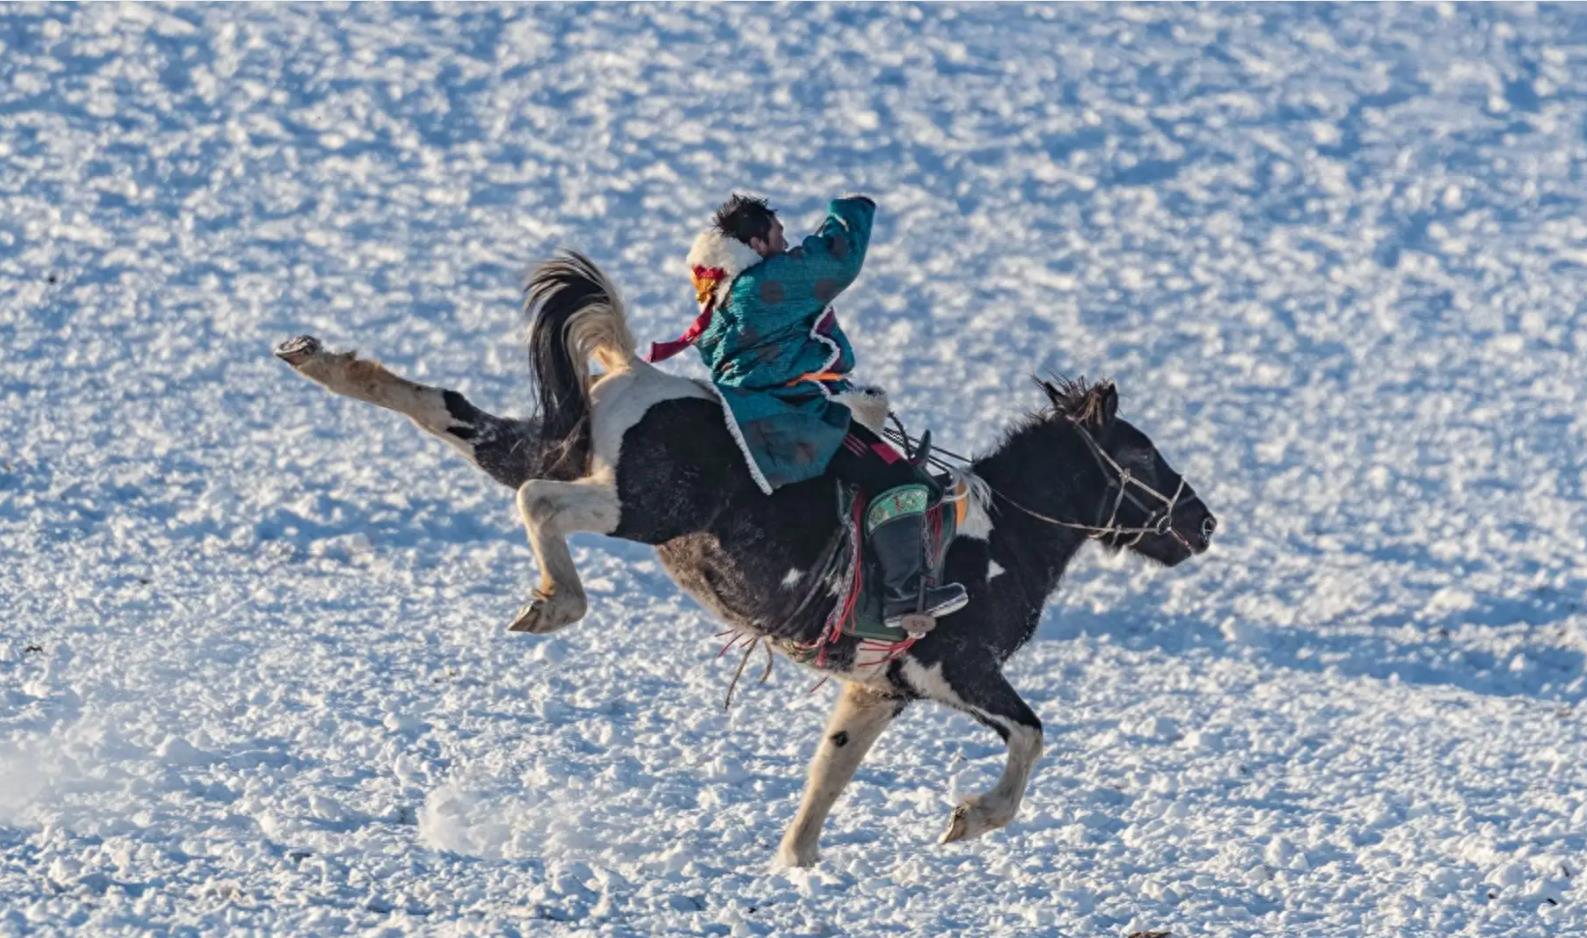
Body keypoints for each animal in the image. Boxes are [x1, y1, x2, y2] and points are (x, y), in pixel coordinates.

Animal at [272, 253, 1218, 869]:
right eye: (1140, 456)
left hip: (557, 447)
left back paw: (317, 361)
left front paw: (794, 867)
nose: (1202, 524)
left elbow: (826, 776)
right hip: (637, 508)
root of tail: (637, 379)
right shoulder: (957, 666)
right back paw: (552, 602)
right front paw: (969, 817)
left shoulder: (877, 687)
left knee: (454, 414)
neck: (999, 534)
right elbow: (1030, 735)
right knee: (537, 503)